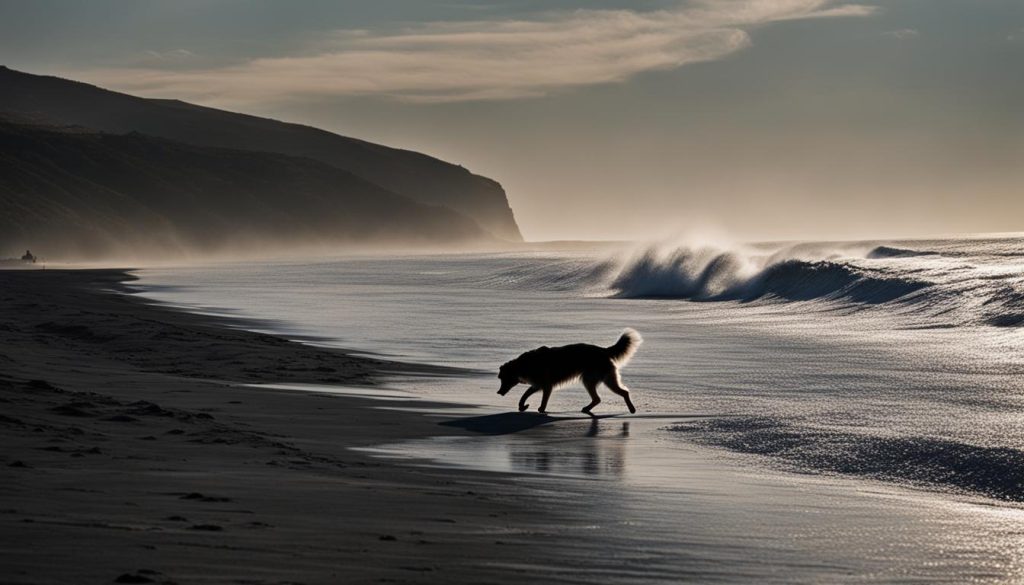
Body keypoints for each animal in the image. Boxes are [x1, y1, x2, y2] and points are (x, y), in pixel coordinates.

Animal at [493, 327, 638, 413]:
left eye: (503, 378)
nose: (498, 392)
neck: (523, 364)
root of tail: (603, 350)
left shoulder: (546, 385)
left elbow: (542, 399)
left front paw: (541, 409)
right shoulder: (538, 384)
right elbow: (525, 394)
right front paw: (522, 406)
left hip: (594, 380)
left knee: (618, 394)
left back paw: (631, 409)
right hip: (600, 379)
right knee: (604, 397)